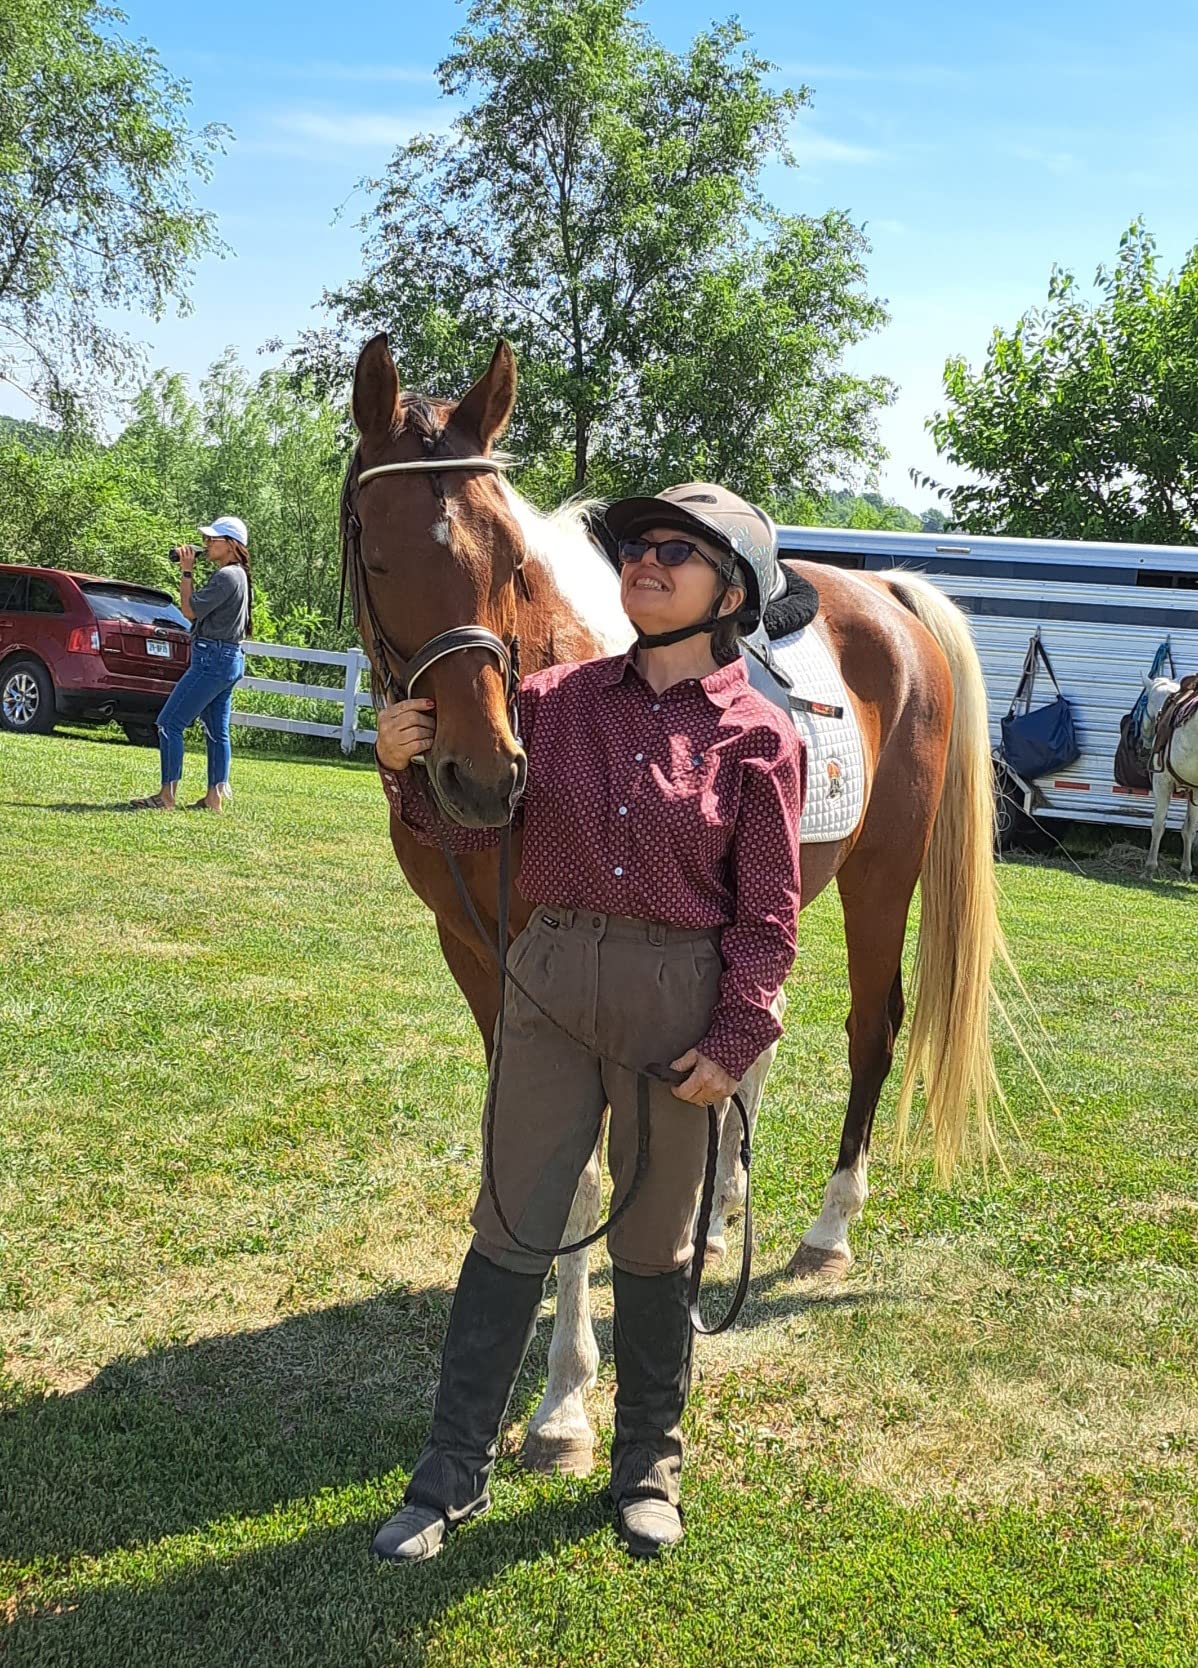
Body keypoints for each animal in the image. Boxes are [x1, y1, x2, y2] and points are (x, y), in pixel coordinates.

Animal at [1141, 673, 1198, 880]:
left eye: (1143, 700)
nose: (1144, 741)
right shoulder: (1195, 791)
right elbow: (1189, 829)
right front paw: (1186, 872)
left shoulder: (1162, 782)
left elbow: (1158, 825)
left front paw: (1149, 868)